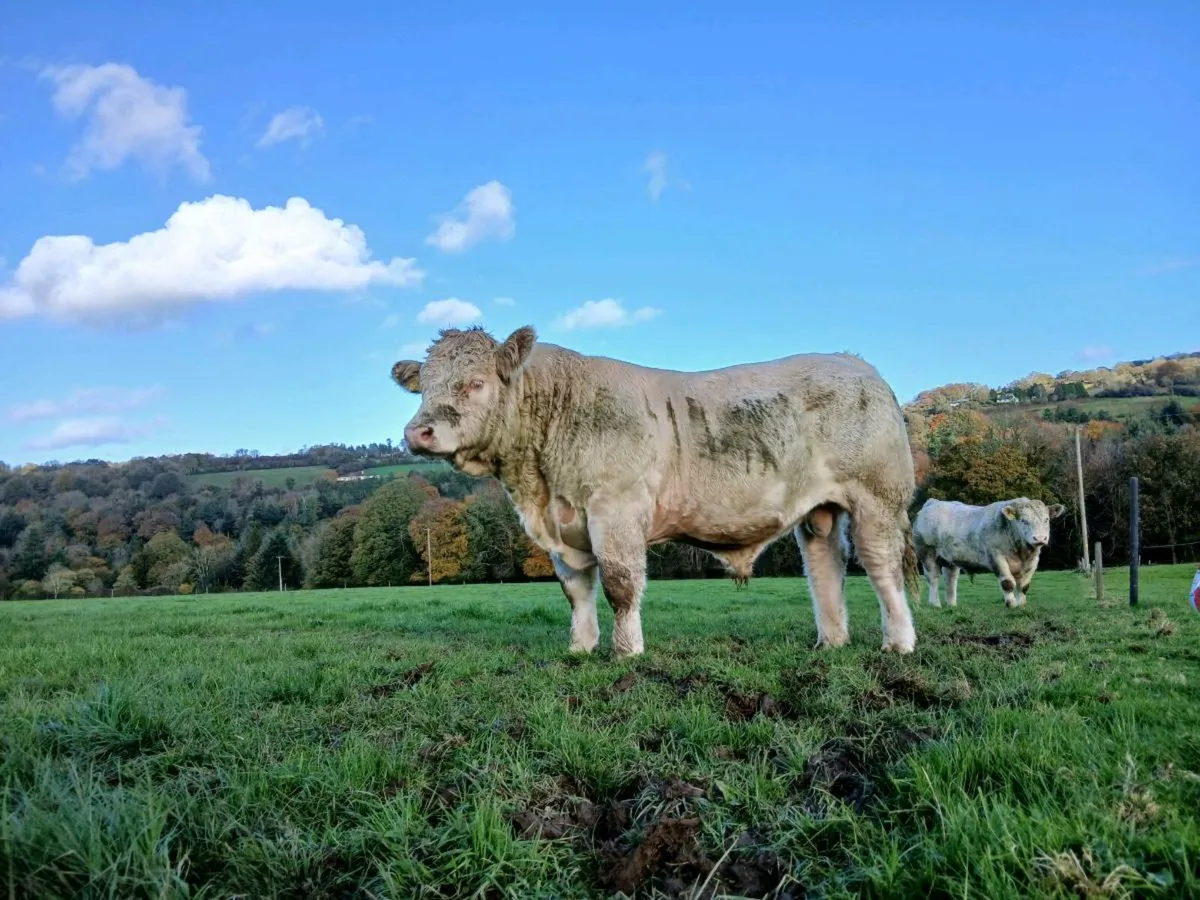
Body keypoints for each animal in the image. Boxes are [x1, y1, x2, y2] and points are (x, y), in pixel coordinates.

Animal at [392, 325, 921, 658]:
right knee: (825, 567)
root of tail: (856, 363)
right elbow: (575, 591)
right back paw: (831, 643)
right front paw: (580, 649)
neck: (539, 486)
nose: (417, 432)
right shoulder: (563, 526)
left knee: (881, 566)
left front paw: (626, 652)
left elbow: (620, 586)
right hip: (819, 511)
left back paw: (899, 643)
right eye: (424, 388)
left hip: (877, 496)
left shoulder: (616, 510)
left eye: (476, 383)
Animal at [912, 497, 1066, 609]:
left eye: (1046, 519)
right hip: (927, 554)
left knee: (950, 580)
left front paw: (1021, 605)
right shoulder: (997, 557)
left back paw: (952, 605)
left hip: (950, 560)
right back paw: (935, 604)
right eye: (1024, 520)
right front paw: (1011, 604)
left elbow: (1024, 586)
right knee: (933, 578)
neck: (1022, 552)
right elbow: (1007, 582)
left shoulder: (1033, 561)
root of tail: (933, 503)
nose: (1040, 538)